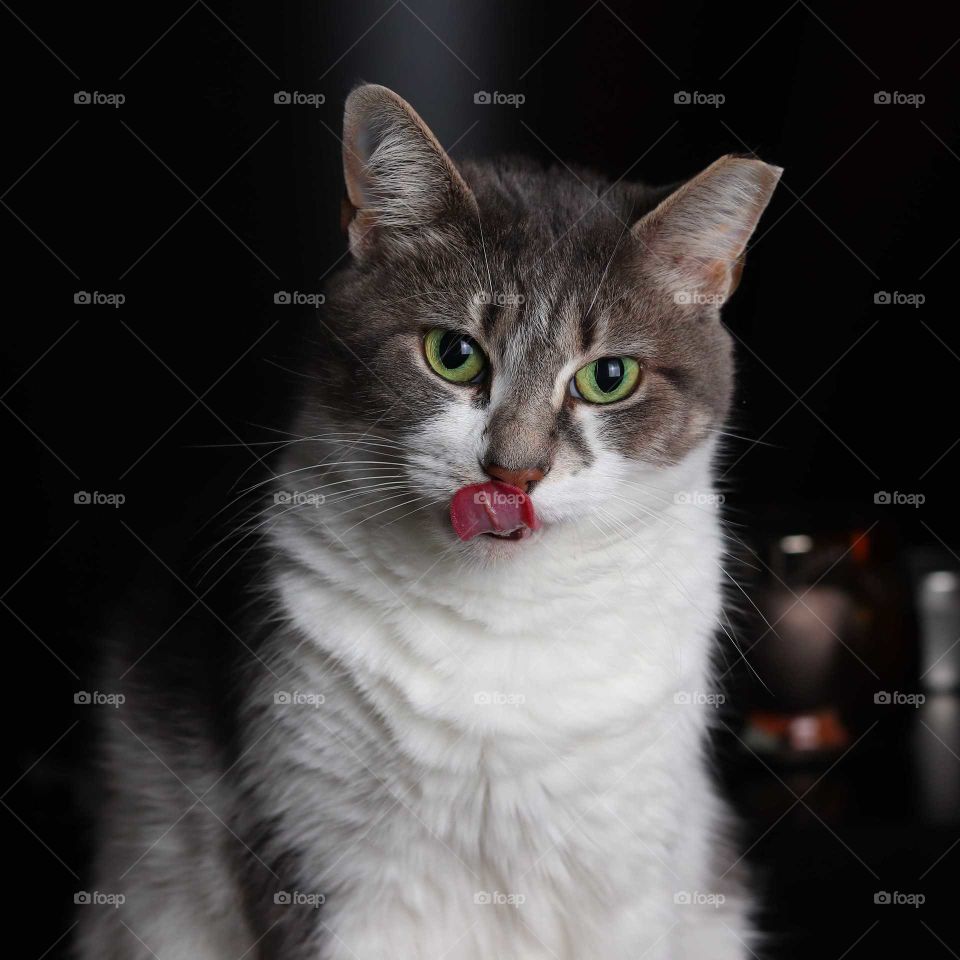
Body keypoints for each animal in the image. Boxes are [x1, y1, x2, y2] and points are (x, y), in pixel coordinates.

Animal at [75, 84, 780, 960]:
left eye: (610, 376)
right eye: (454, 354)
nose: (513, 472)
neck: (503, 627)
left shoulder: (636, 869)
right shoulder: (317, 848)